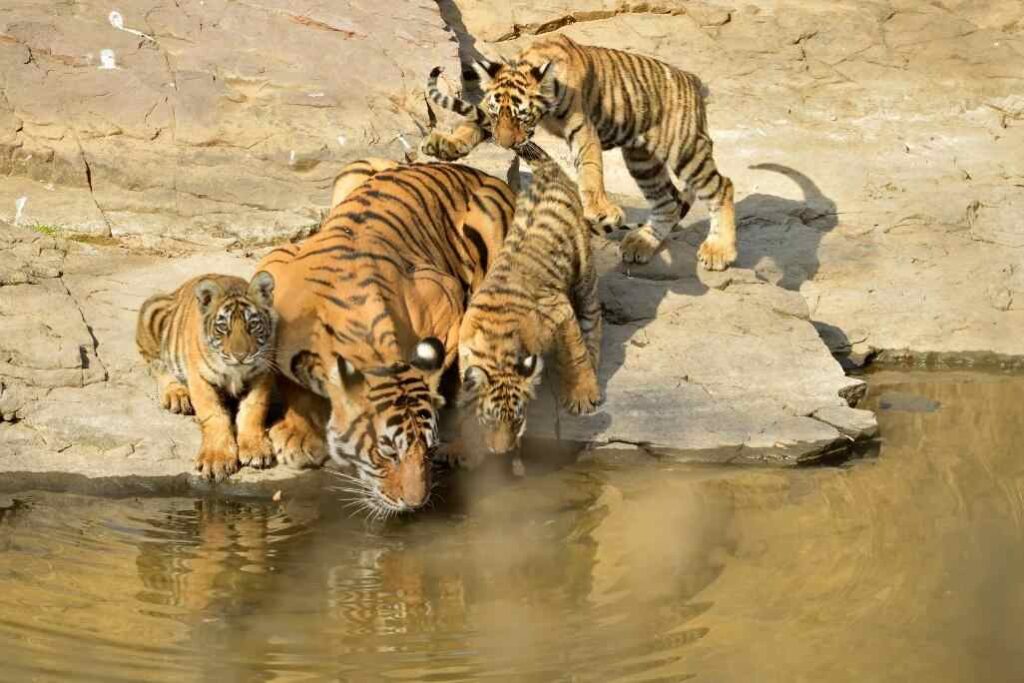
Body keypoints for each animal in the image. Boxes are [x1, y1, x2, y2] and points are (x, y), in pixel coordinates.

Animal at [135, 271, 278, 481]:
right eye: (223, 327)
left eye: (252, 325)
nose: (240, 356)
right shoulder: (200, 377)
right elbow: (213, 414)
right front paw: (217, 459)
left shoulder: (263, 371)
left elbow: (254, 409)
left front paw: (255, 449)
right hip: (152, 313)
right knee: (158, 366)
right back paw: (177, 395)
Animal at [256, 157, 515, 515]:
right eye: (387, 452)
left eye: (428, 449)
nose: (416, 503)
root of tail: (475, 171)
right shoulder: (274, 266)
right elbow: (290, 380)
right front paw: (299, 436)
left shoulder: (445, 296)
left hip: (488, 219)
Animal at [420, 33, 737, 270]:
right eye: (498, 116)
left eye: (522, 117)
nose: (505, 144)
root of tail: (692, 80)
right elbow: (469, 123)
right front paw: (444, 144)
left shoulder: (583, 128)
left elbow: (590, 170)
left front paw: (600, 210)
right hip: (642, 159)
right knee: (667, 201)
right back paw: (642, 243)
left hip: (683, 148)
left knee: (722, 186)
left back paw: (719, 251)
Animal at [456, 140, 602, 462]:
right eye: (489, 420)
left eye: (517, 420)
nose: (501, 452)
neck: (497, 348)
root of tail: (549, 171)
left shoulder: (558, 309)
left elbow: (576, 353)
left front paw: (582, 394)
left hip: (584, 270)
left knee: (592, 316)